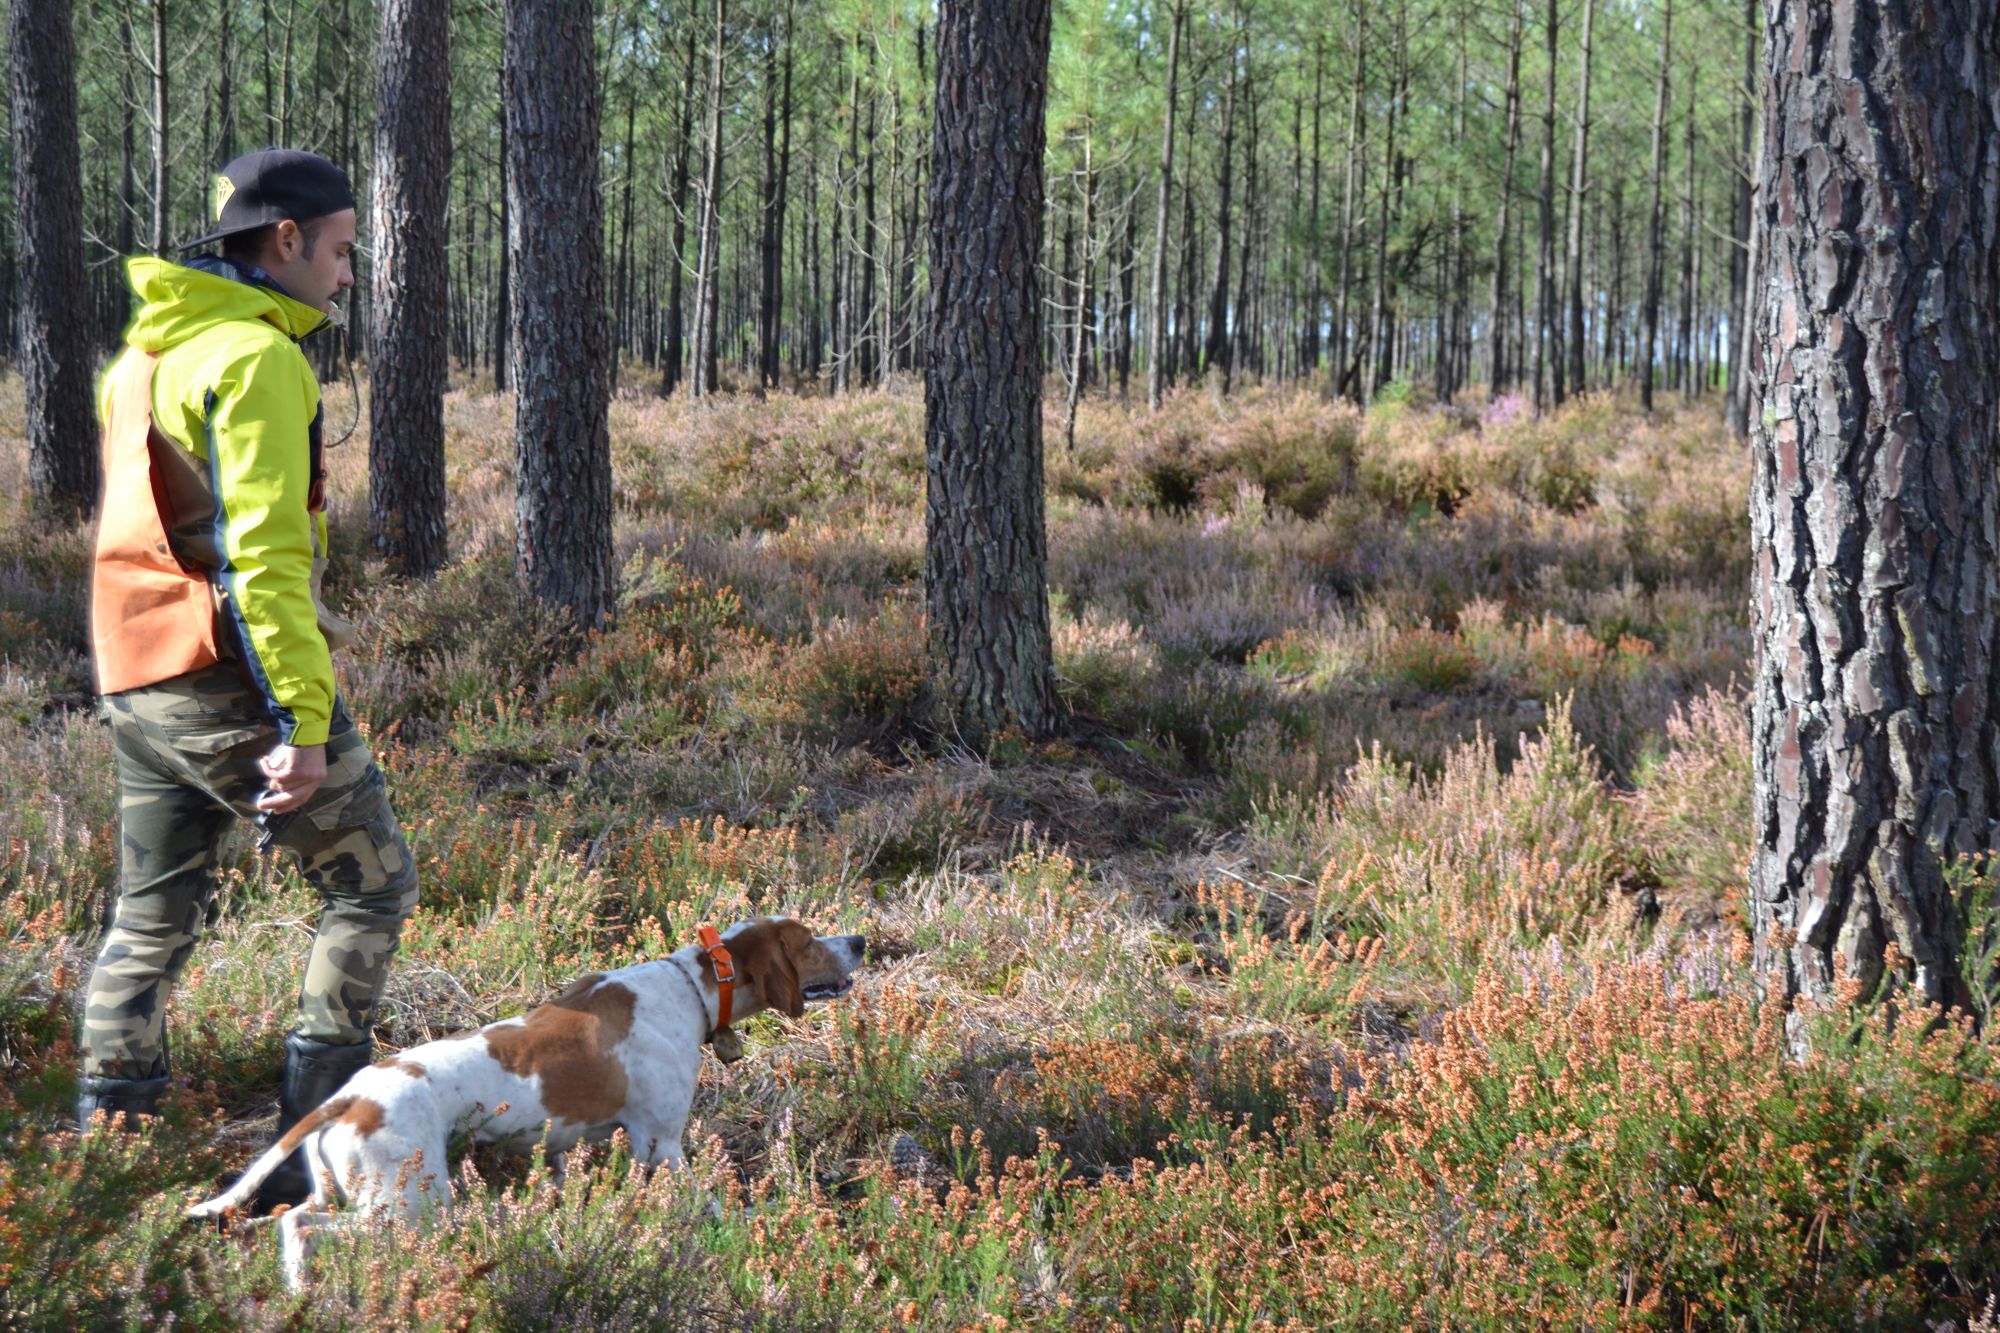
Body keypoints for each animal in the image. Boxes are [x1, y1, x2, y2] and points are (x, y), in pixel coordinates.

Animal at [189, 912, 868, 1280]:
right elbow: (713, 1207)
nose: (860, 941)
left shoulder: (561, 1150)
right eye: (808, 940)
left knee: (291, 1220)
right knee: (306, 1227)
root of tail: (346, 1099)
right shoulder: (662, 1145)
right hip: (410, 1207)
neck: (691, 984)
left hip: (352, 1195)